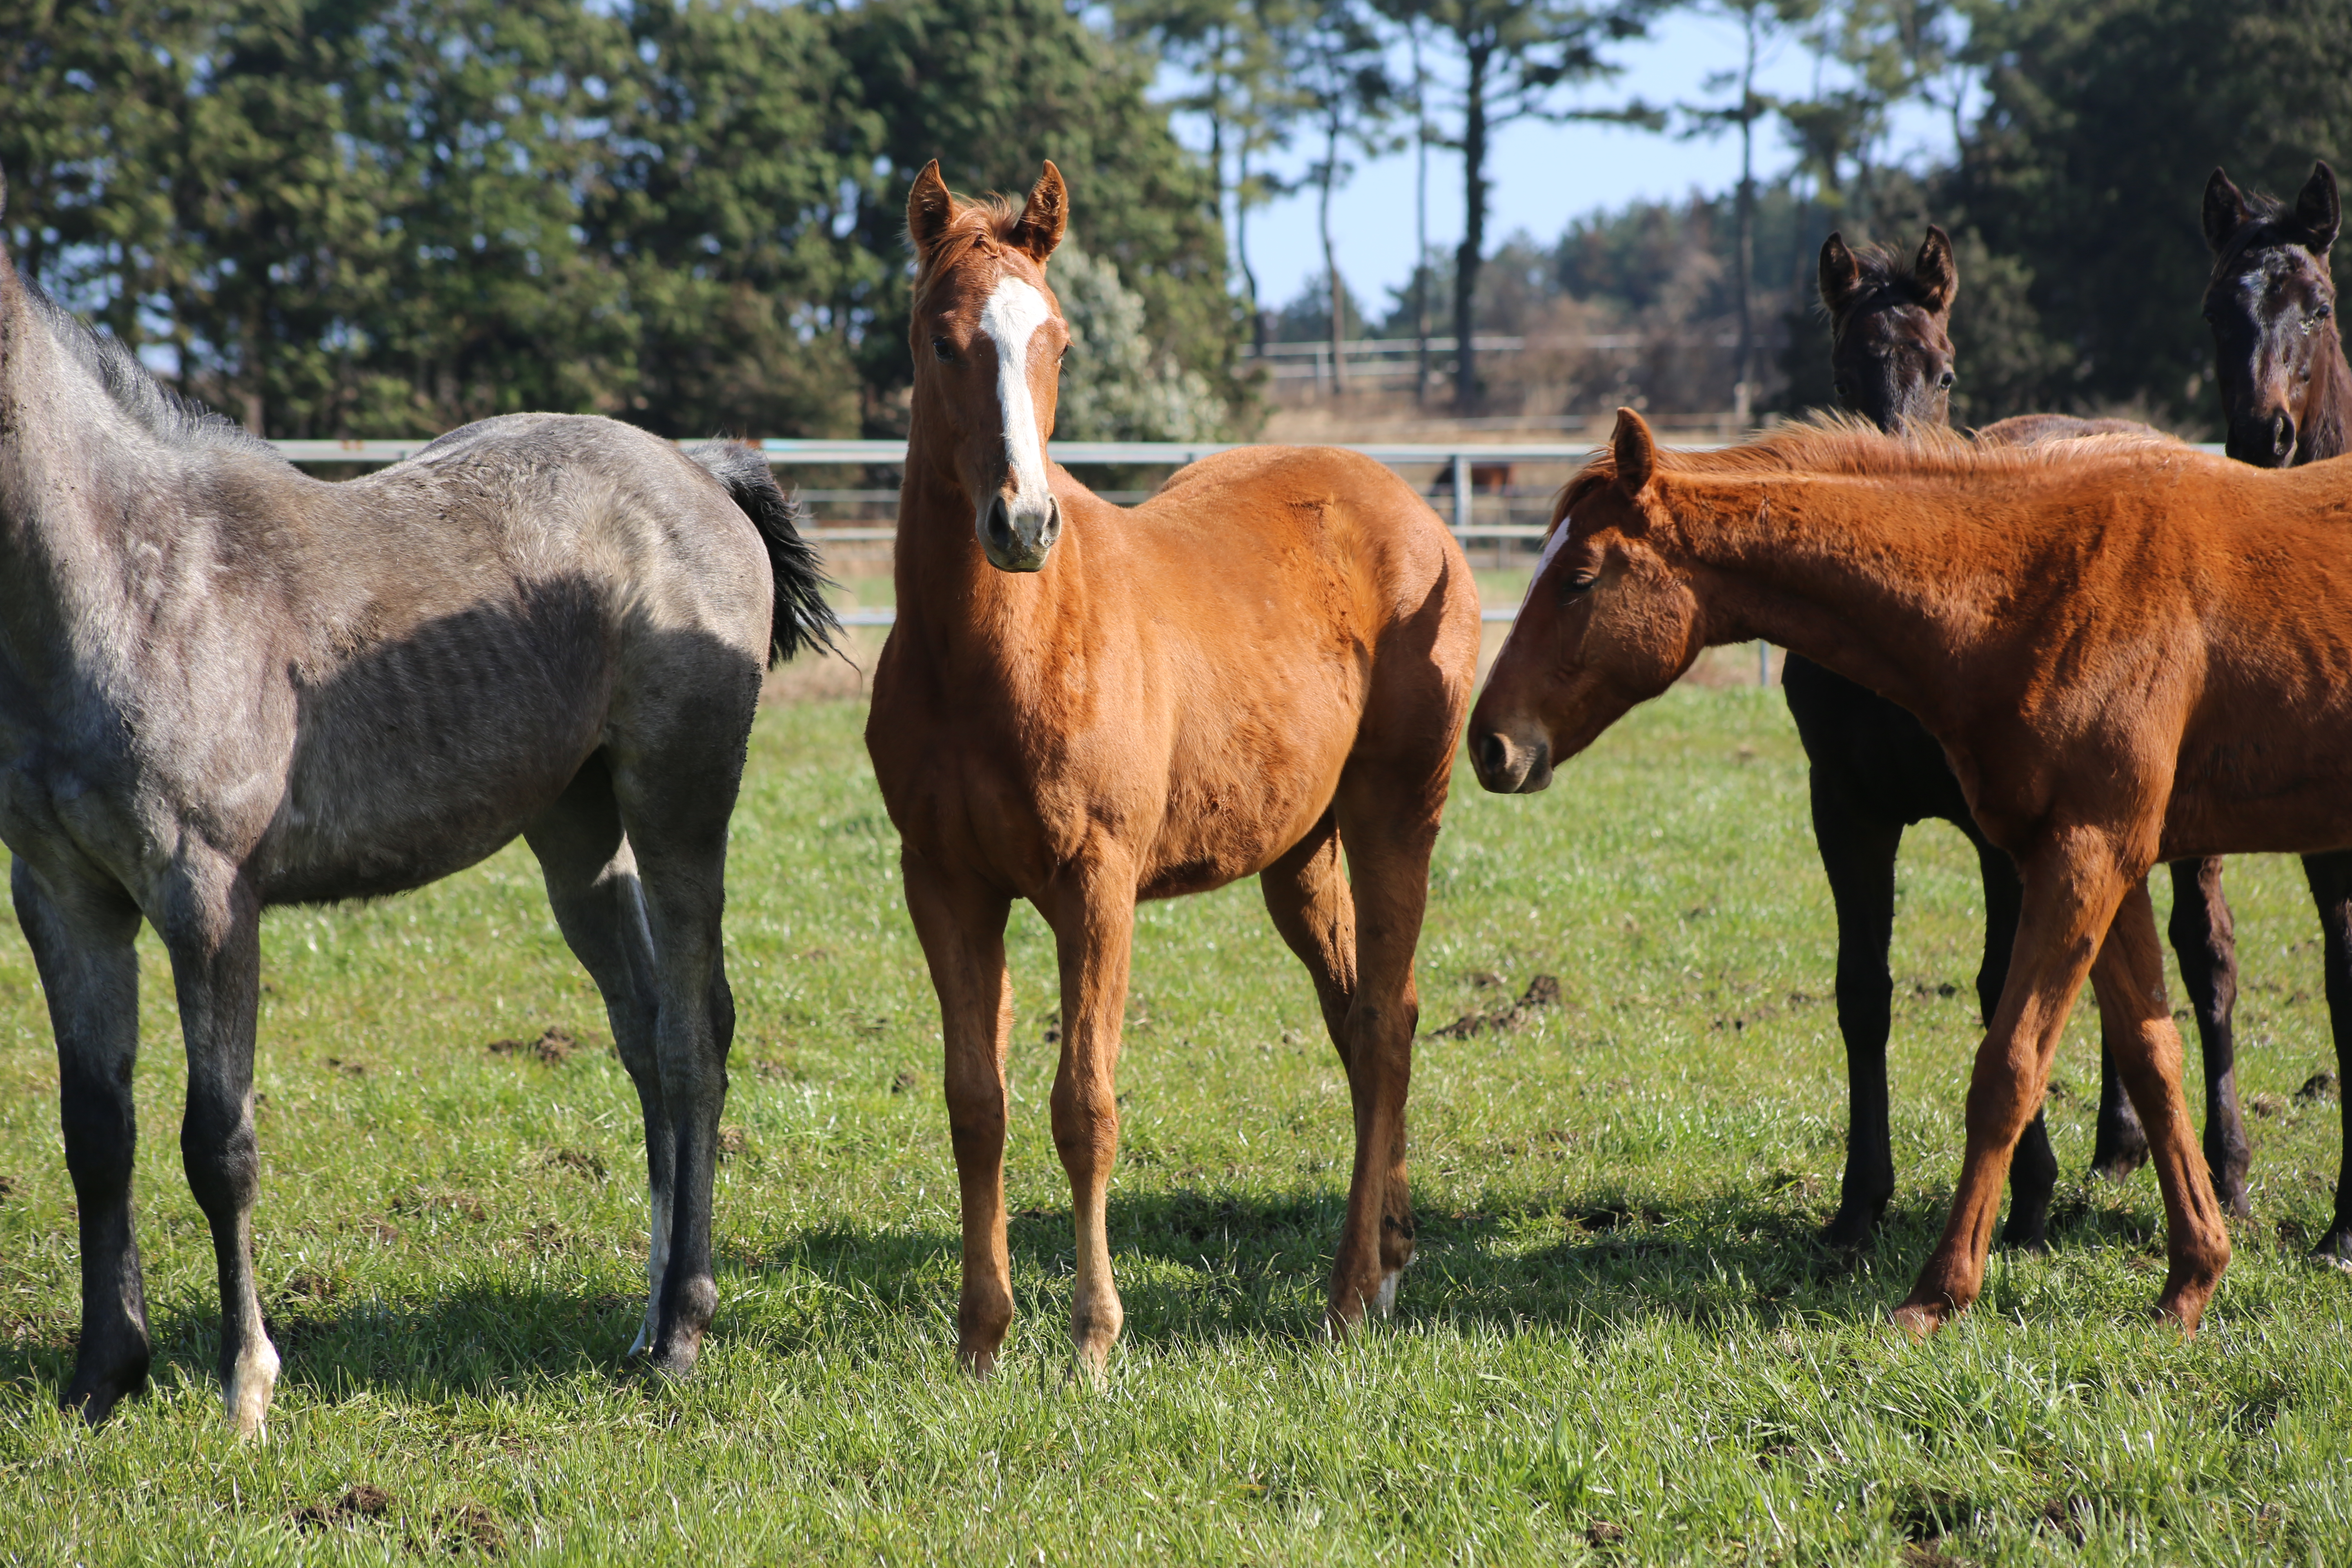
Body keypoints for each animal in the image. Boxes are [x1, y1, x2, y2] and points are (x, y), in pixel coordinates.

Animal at [0, 187, 837, 1439]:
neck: (125, 578)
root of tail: (699, 470)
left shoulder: (208, 898)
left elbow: (217, 1140)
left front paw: (246, 1384)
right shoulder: (64, 895)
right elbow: (97, 1133)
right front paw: (104, 1377)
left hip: (678, 806)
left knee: (695, 1036)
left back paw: (685, 1328)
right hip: (575, 831)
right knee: (646, 1032)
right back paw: (644, 1323)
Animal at [865, 165, 1486, 1382]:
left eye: (1057, 339)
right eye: (941, 340)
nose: (1023, 523)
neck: (999, 650)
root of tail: (1418, 516)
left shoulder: (1096, 886)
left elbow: (1083, 1107)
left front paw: (1092, 1343)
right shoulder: (945, 883)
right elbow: (976, 1104)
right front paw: (981, 1339)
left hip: (1398, 813)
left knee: (1382, 1023)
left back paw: (1349, 1293)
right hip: (1301, 855)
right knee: (1364, 1018)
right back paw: (1388, 1257)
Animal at [1458, 411, 2352, 1335]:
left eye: (1578, 579)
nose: (1489, 743)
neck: (2038, 580)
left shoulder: (2084, 853)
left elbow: (2007, 1072)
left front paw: (1939, 1291)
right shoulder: (2108, 861)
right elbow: (2152, 1058)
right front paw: (2190, 1282)